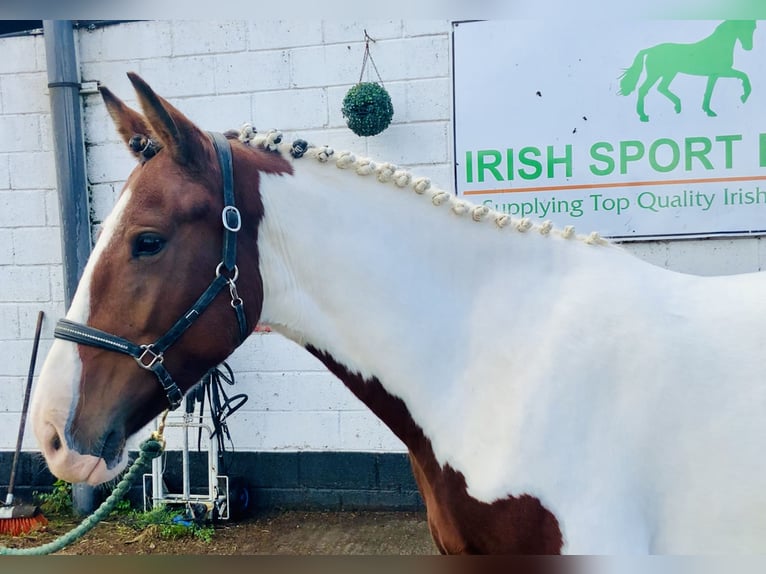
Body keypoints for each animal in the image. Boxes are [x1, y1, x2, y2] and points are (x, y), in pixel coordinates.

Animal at [616, 20, 756, 122]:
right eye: (742, 27)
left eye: (753, 28)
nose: (748, 47)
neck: (719, 46)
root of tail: (650, 50)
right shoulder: (722, 71)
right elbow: (744, 76)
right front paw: (743, 97)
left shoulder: (714, 75)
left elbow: (709, 91)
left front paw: (708, 110)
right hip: (657, 74)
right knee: (644, 89)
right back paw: (643, 116)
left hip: (669, 73)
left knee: (661, 88)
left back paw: (677, 106)